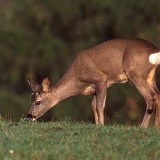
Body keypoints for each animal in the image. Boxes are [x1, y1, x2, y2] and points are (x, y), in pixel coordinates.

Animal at [26, 38, 160, 128]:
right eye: (30, 100)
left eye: (38, 102)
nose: (29, 115)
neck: (78, 80)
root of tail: (155, 51)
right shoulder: (94, 89)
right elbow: (93, 106)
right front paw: (97, 125)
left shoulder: (101, 78)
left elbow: (100, 105)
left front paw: (101, 126)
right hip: (150, 76)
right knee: (157, 95)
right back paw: (156, 127)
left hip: (135, 73)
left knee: (150, 97)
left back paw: (143, 127)